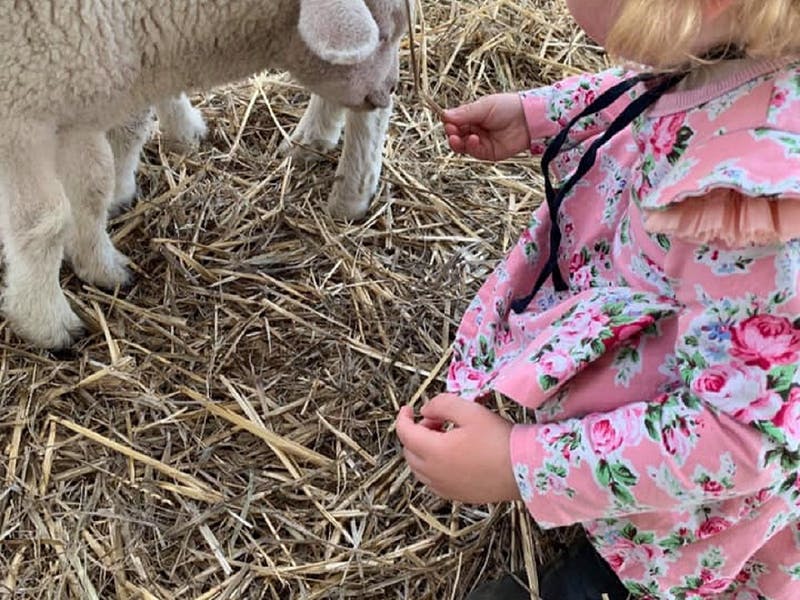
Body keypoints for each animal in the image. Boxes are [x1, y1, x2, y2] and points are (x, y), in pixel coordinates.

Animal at [0, 0, 410, 350]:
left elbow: (91, 188)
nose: (389, 89)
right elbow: (44, 222)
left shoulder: (74, 106)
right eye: (382, 34)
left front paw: (100, 266)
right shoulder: (18, 119)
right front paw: (45, 322)